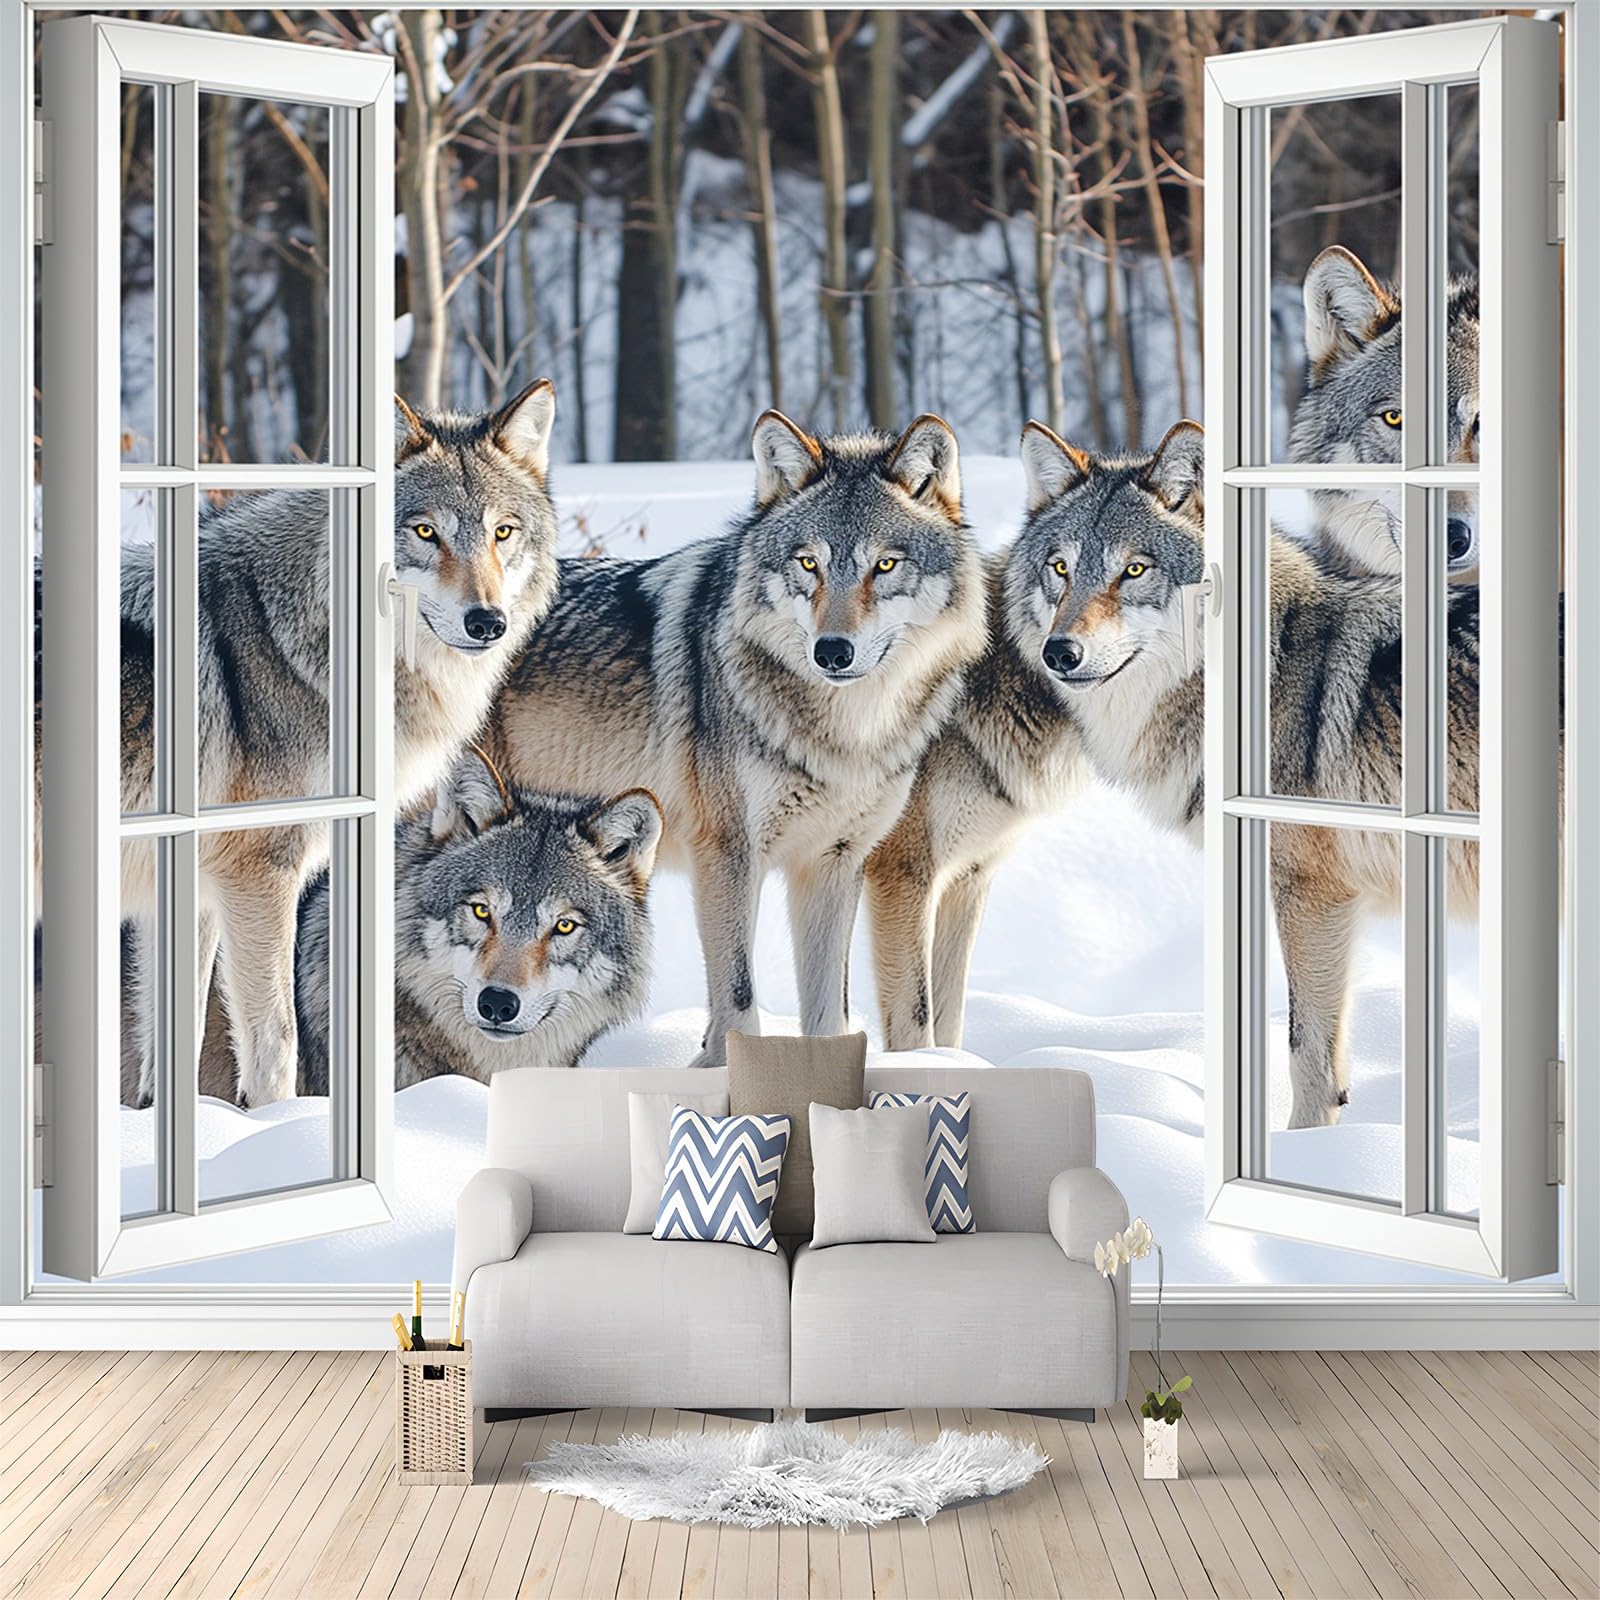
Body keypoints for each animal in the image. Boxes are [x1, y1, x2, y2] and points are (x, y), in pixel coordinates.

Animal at [54, 380, 563, 1108]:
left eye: (503, 532)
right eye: (425, 531)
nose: (487, 622)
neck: (289, 642)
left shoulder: (186, 882)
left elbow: (174, 1037)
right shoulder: (259, 872)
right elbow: (276, 1044)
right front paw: (275, 1127)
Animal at [487, 411, 987, 1065]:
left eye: (884, 565)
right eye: (808, 563)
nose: (832, 651)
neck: (845, 736)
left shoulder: (834, 863)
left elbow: (829, 1011)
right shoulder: (727, 854)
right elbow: (739, 993)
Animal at [1021, 418, 1479, 1129]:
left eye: (1134, 569)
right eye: (1061, 568)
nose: (1059, 653)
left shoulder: (1314, 895)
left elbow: (1307, 1055)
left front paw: (1307, 1150)